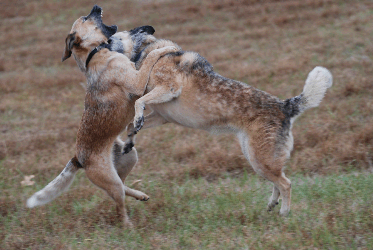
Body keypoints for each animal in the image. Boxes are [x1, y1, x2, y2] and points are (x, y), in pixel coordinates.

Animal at [26, 5, 177, 226]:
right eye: (85, 18)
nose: (96, 7)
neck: (94, 54)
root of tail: (78, 159)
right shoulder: (137, 81)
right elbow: (150, 58)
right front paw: (164, 48)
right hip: (110, 179)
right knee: (119, 206)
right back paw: (128, 227)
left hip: (129, 157)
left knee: (123, 186)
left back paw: (141, 195)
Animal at [116, 27, 332, 216]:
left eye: (111, 39)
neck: (147, 53)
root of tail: (285, 106)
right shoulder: (162, 117)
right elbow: (131, 125)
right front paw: (129, 141)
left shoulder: (169, 89)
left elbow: (139, 103)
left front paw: (136, 121)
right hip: (256, 157)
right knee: (279, 181)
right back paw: (272, 205)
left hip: (260, 160)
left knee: (286, 183)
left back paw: (284, 213)